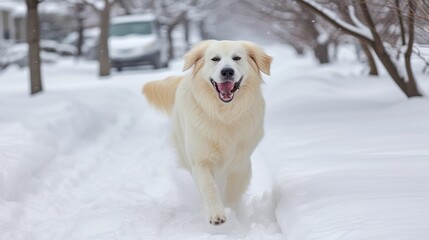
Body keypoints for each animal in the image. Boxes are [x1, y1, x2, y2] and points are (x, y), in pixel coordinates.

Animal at [144, 39, 270, 225]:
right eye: (215, 59)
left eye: (237, 58)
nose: (227, 71)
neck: (223, 114)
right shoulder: (200, 160)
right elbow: (209, 187)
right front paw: (217, 214)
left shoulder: (240, 164)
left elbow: (231, 193)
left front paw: (231, 213)